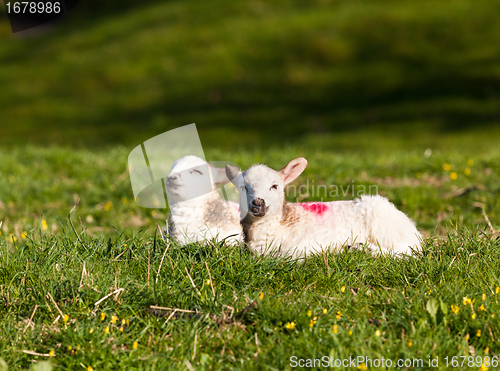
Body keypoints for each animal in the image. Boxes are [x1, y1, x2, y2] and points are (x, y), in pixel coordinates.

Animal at [227, 158, 422, 258]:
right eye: (243, 187)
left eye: (274, 186)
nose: (258, 203)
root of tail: (412, 227)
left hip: (386, 227)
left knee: (406, 251)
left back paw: (364, 249)